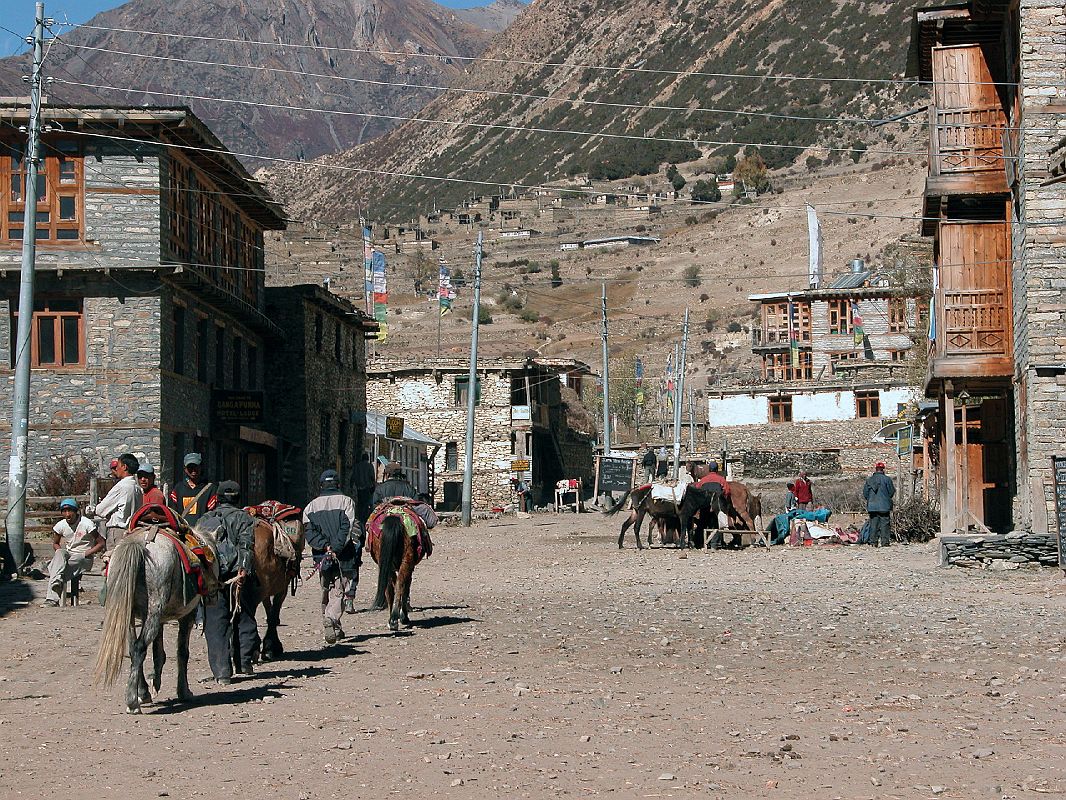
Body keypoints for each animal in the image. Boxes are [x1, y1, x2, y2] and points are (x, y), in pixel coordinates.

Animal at [96, 507, 218, 712]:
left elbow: (158, 652)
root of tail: (141, 543)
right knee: (139, 647)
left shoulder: (156, 618)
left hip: (132, 614)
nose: (214, 592)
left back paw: (141, 694)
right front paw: (184, 691)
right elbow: (182, 652)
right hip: (155, 610)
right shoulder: (187, 616)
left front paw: (151, 687)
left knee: (134, 647)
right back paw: (132, 701)